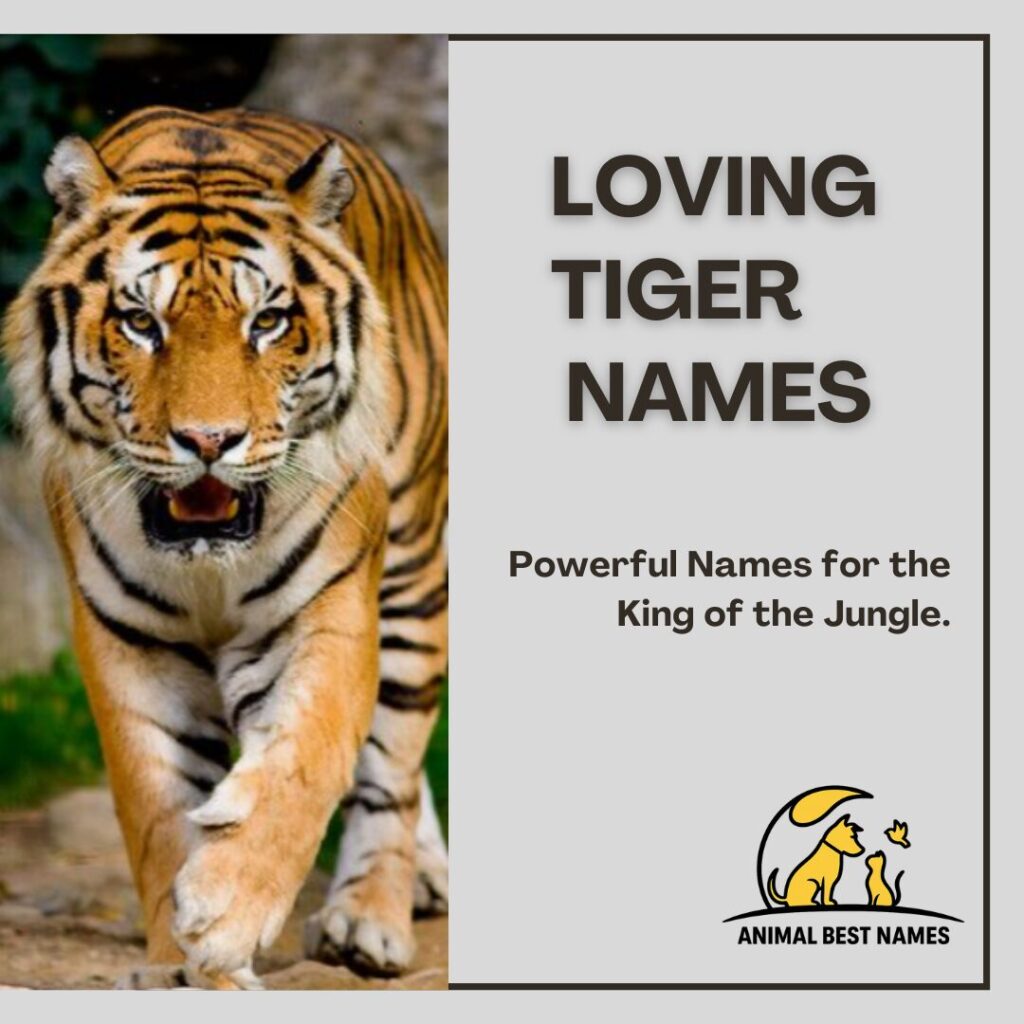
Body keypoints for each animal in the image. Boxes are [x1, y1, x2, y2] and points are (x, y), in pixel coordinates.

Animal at [1, 106, 447, 989]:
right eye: (141, 322)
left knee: (396, 766)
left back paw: (370, 917)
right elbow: (157, 806)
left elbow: (306, 763)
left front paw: (225, 910)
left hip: (414, 571)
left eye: (267, 321)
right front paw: (185, 962)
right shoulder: (129, 642)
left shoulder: (328, 612)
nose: (209, 441)